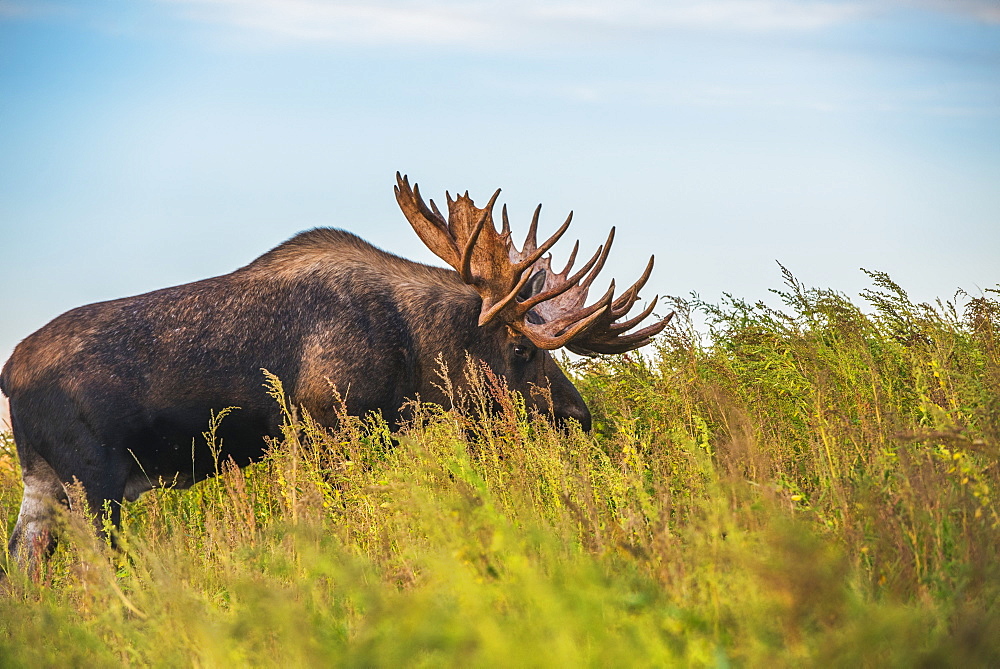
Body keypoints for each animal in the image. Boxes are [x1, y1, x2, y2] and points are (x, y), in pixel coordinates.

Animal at [1, 172, 672, 564]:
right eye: (523, 350)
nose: (578, 416)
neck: (415, 354)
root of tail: (9, 374)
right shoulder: (331, 429)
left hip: (43, 483)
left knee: (24, 564)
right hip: (93, 482)